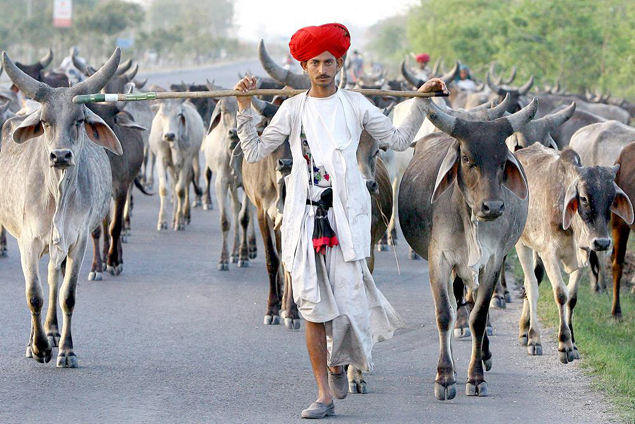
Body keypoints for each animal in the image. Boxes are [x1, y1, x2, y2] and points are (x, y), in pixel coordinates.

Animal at [0, 46, 123, 366]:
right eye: (45, 122)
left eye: (79, 120)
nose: (61, 156)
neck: (56, 192)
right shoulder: (27, 241)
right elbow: (34, 294)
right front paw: (39, 347)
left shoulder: (78, 241)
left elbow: (67, 294)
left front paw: (66, 350)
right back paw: (36, 340)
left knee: (54, 277)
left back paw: (53, 331)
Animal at [400, 97, 536, 400]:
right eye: (466, 159)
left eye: (502, 161)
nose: (493, 207)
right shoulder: (439, 260)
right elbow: (444, 314)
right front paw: (444, 377)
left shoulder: (492, 262)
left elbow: (479, 317)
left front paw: (476, 377)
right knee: (455, 305)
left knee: (472, 306)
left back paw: (483, 355)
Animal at [516, 144, 632, 362]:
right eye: (584, 198)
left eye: (612, 199)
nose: (602, 242)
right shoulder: (549, 254)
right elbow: (561, 294)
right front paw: (564, 344)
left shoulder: (583, 255)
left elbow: (572, 297)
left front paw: (573, 343)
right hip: (522, 243)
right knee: (531, 284)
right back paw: (534, 338)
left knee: (534, 279)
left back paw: (525, 330)